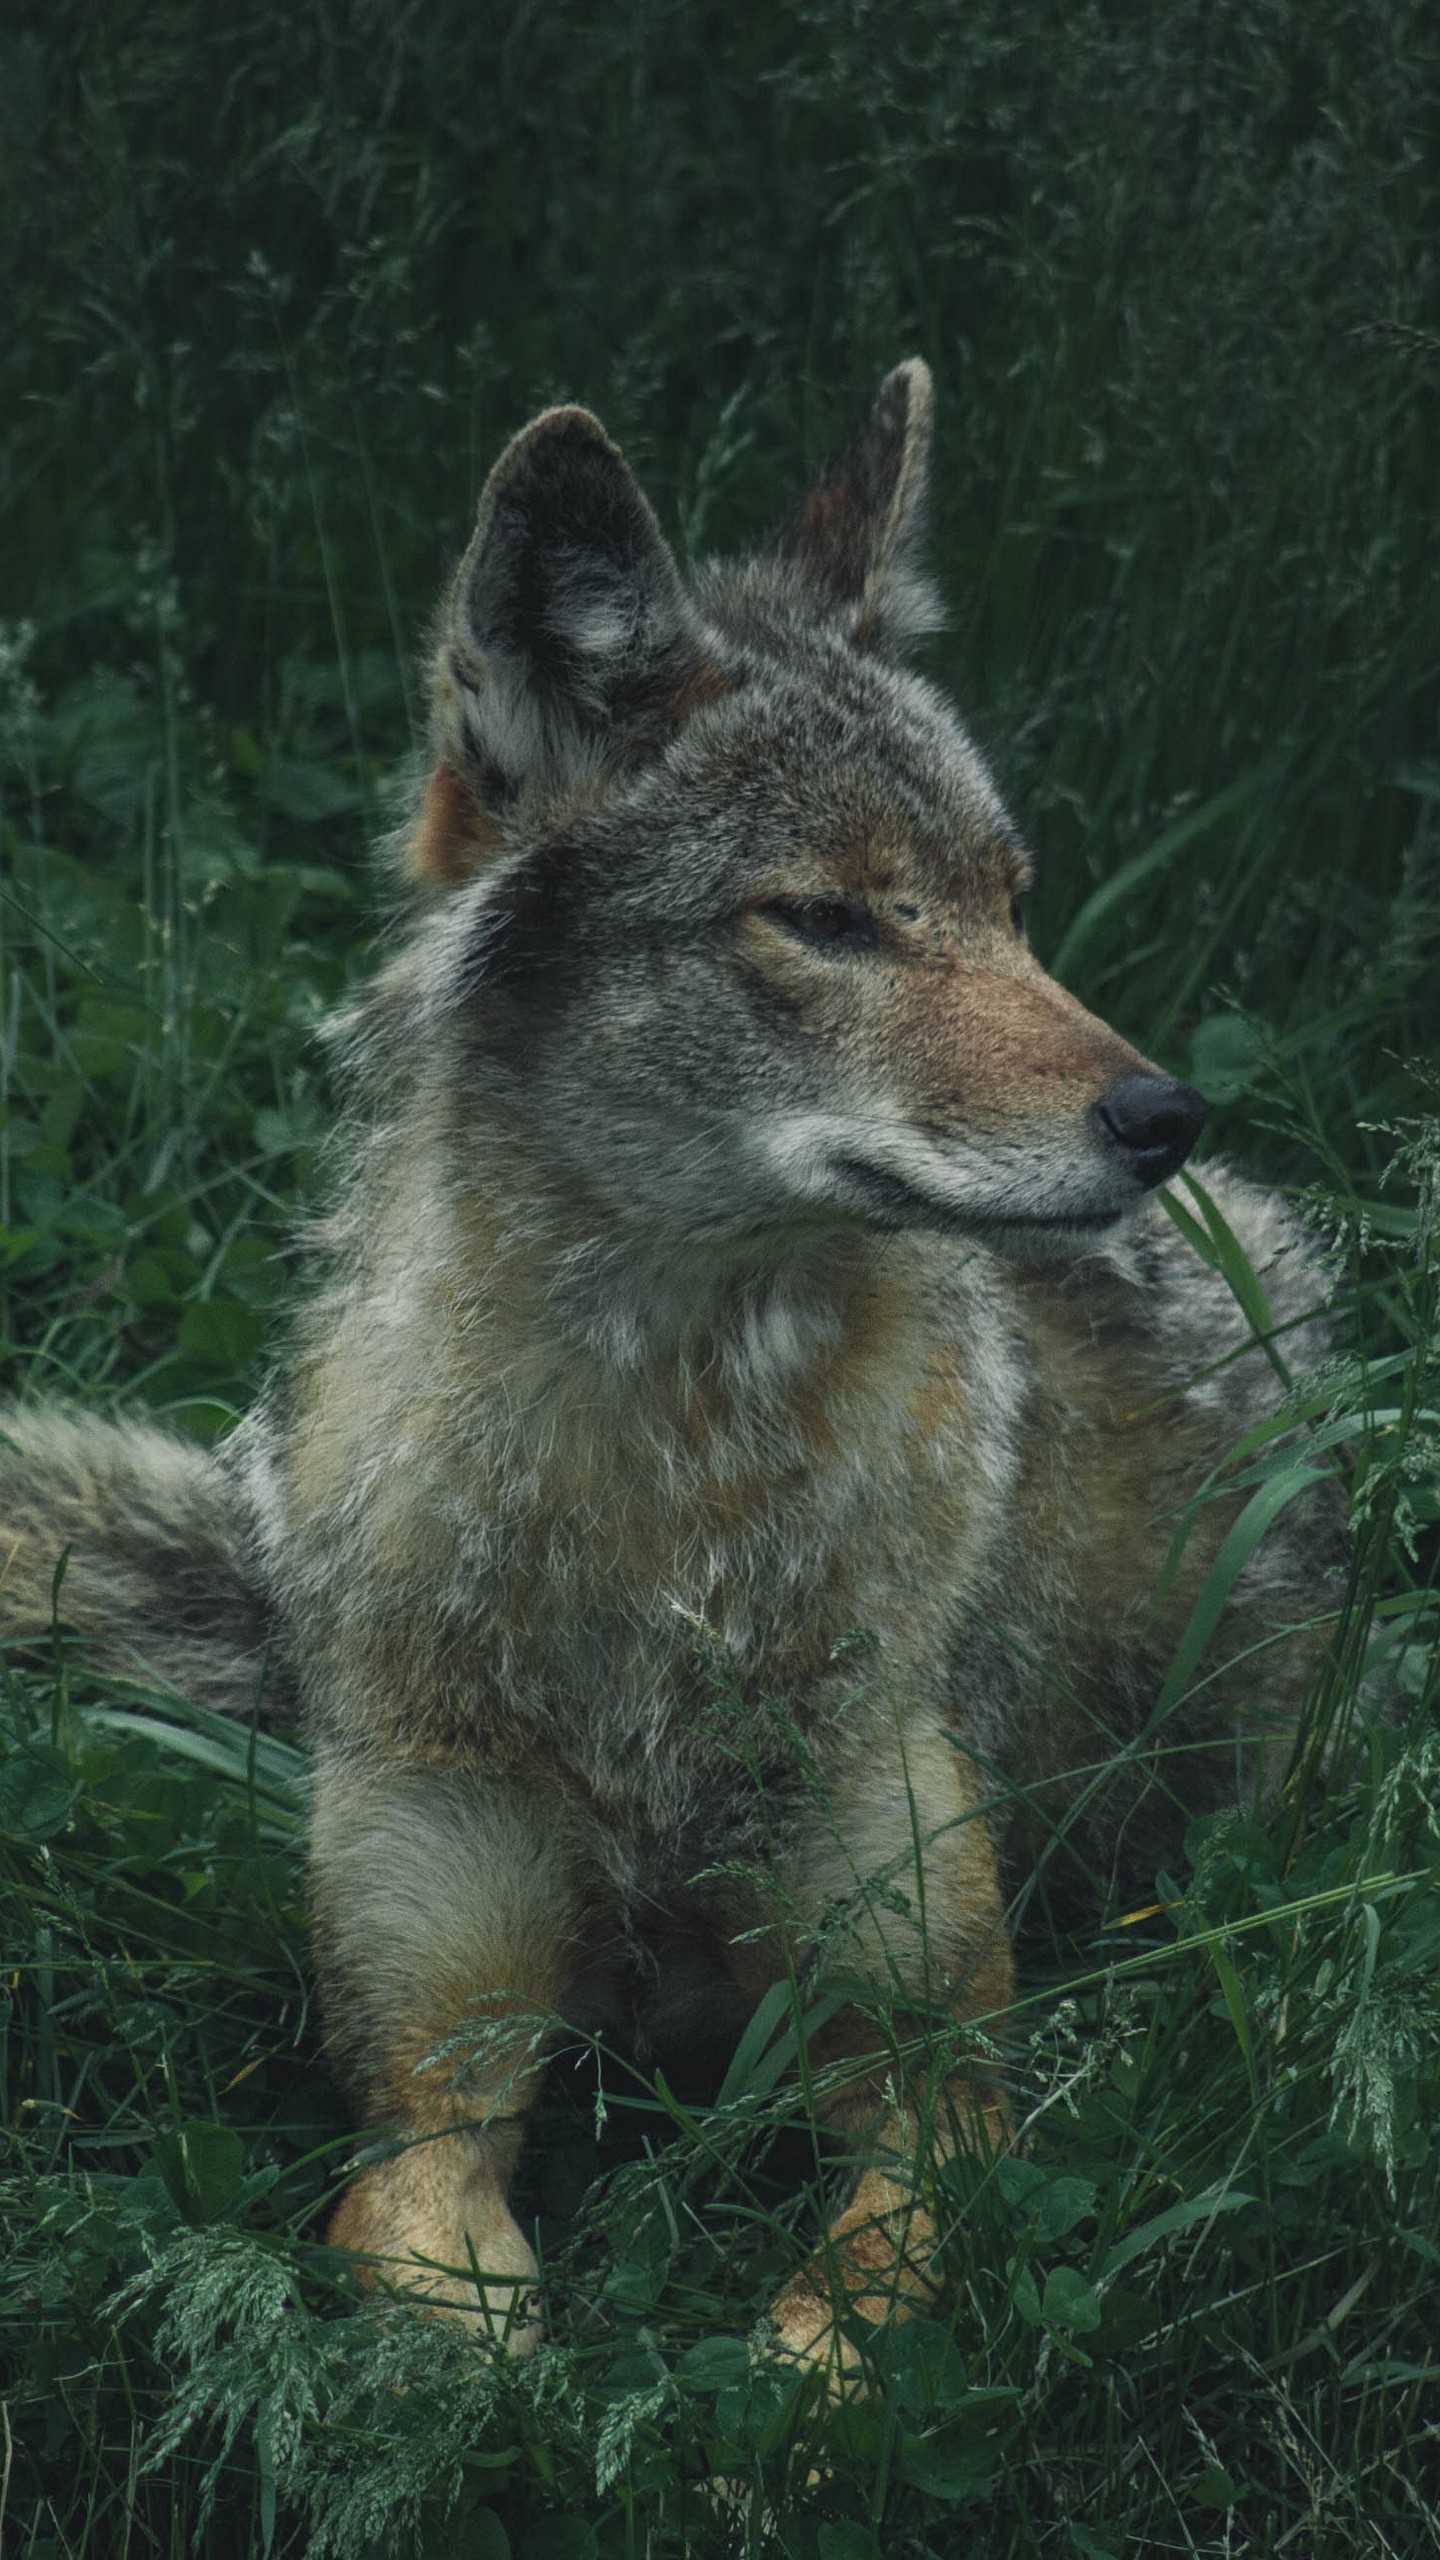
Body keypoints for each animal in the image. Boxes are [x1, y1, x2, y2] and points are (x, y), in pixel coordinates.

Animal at [0, 360, 1332, 2375]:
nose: (1166, 1115)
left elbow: (824, 2348)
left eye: (1013, 902)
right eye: (832, 919)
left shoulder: (936, 2074)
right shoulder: (428, 2080)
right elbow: (456, 2333)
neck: (668, 1500)